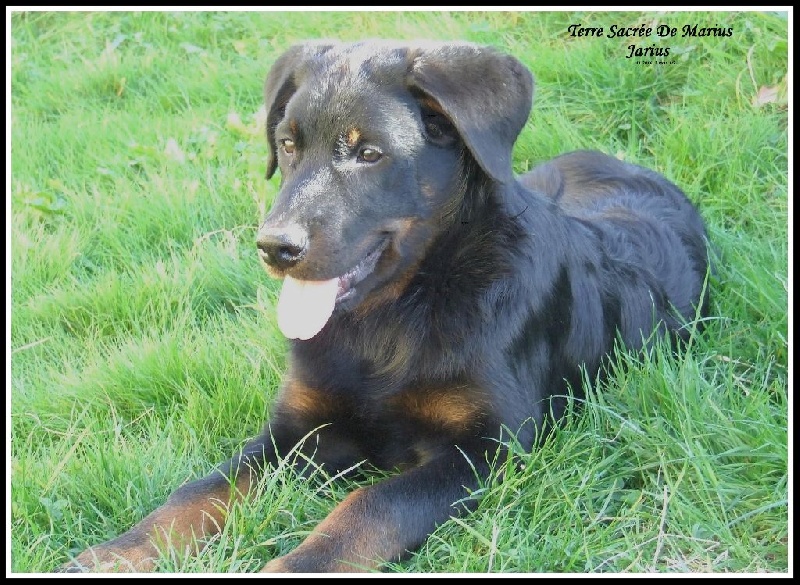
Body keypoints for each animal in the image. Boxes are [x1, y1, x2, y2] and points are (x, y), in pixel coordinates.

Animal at [61, 39, 710, 573]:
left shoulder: (487, 451)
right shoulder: (298, 428)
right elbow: (199, 491)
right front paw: (114, 554)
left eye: (368, 154)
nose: (274, 247)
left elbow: (373, 504)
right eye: (287, 146)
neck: (392, 319)